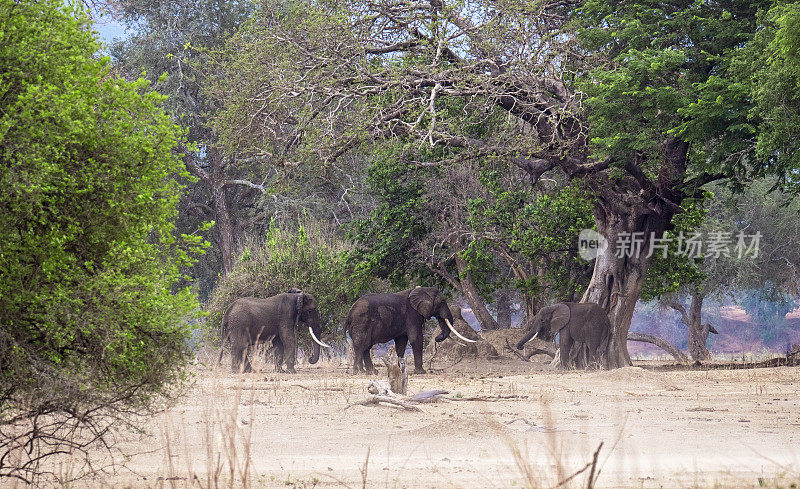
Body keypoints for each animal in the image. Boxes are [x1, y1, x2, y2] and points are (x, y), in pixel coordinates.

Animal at [346, 286, 476, 374]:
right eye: (442, 302)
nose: (437, 338)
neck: (422, 290)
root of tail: (350, 313)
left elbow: (401, 342)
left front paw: (399, 370)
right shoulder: (413, 315)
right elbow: (415, 338)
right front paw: (421, 372)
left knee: (365, 346)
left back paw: (371, 372)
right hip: (361, 322)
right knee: (361, 345)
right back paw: (359, 372)